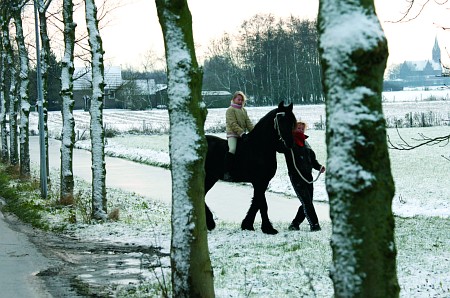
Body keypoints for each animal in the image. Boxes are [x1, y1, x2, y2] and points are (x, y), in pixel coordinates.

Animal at [203, 102, 296, 235]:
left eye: (292, 121)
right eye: (281, 120)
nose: (289, 143)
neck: (259, 147)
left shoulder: (263, 181)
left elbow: (256, 202)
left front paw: (247, 225)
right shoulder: (258, 181)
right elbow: (262, 203)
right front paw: (268, 228)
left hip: (211, 178)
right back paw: (210, 223)